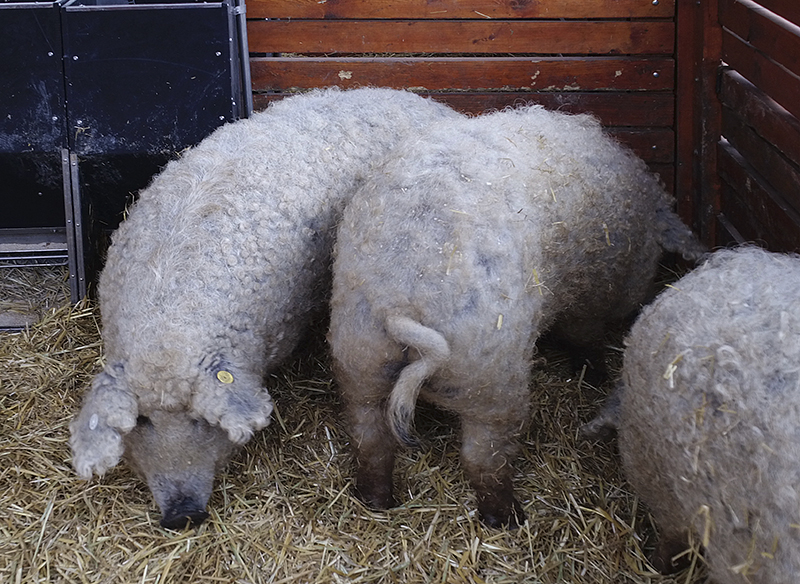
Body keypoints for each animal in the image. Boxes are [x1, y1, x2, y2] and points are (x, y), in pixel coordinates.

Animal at [324, 105, 700, 528]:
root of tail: (399, 307)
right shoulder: (588, 296)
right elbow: (583, 336)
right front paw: (595, 373)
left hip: (359, 361)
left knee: (369, 439)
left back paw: (378, 501)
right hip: (491, 380)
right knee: (483, 457)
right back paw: (509, 518)